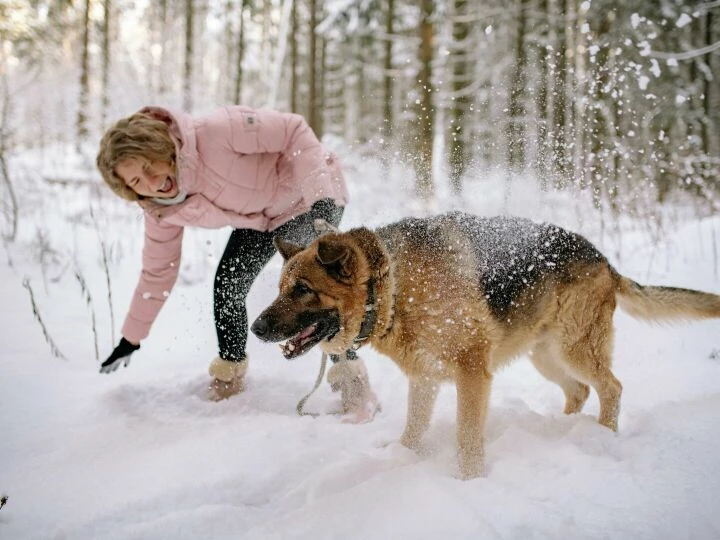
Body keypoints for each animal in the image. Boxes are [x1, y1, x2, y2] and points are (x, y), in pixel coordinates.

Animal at [252, 213, 720, 478]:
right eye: (281, 288)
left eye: (302, 290)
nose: (255, 328)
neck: (392, 283)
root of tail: (604, 260)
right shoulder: (425, 376)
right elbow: (413, 428)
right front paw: (403, 457)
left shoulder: (472, 372)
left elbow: (467, 437)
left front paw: (469, 480)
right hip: (546, 357)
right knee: (579, 391)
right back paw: (564, 430)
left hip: (573, 349)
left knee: (611, 388)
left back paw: (602, 435)